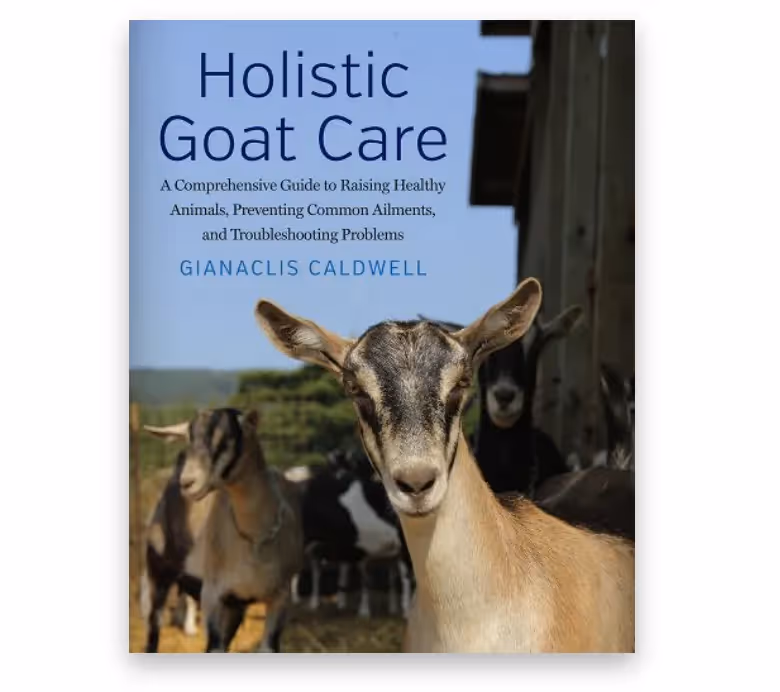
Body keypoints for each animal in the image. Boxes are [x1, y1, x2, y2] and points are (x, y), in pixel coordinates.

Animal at [145, 408, 304, 652]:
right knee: (154, 626)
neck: (254, 539)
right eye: (189, 438)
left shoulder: (280, 597)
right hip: (159, 568)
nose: (187, 482)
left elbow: (268, 647)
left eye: (227, 439)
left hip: (235, 605)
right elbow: (214, 646)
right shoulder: (212, 595)